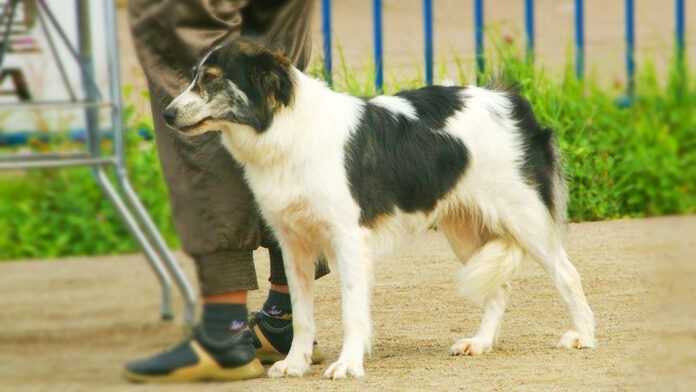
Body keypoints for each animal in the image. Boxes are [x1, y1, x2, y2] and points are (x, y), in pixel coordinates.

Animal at [162, 40, 592, 380]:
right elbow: (301, 313)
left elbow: (352, 308)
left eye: (211, 79)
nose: (166, 114)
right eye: (194, 77)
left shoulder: (348, 238)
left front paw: (348, 365)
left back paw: (584, 337)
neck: (286, 129)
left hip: (525, 219)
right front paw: (296, 363)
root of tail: (510, 99)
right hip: (465, 230)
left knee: (568, 275)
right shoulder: (293, 243)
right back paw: (481, 342)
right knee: (498, 287)